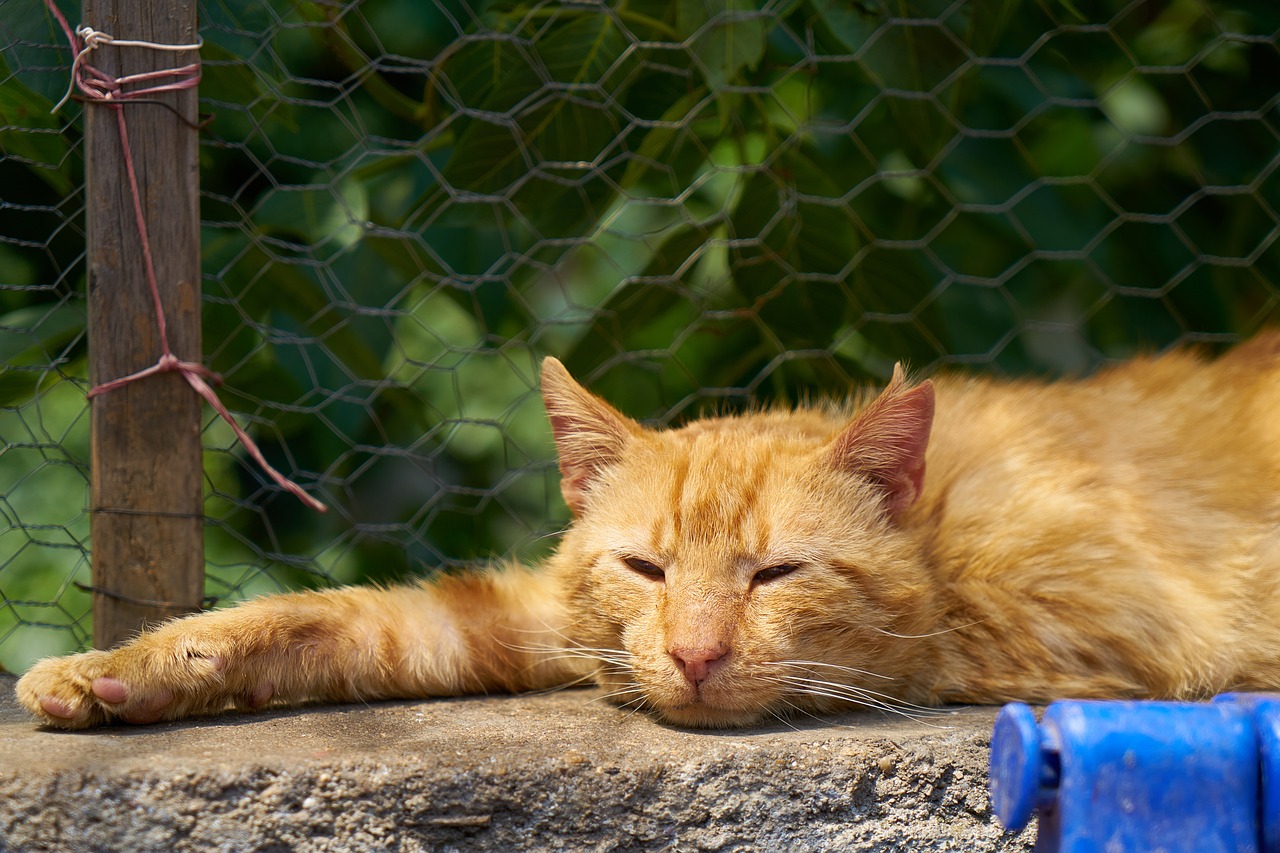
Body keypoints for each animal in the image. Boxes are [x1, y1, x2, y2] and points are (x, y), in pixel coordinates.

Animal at [15, 335, 1280, 727]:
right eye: (644, 566)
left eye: (775, 572)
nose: (694, 654)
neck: (940, 535)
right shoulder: (542, 616)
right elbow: (342, 621)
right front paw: (123, 669)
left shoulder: (1115, 636)